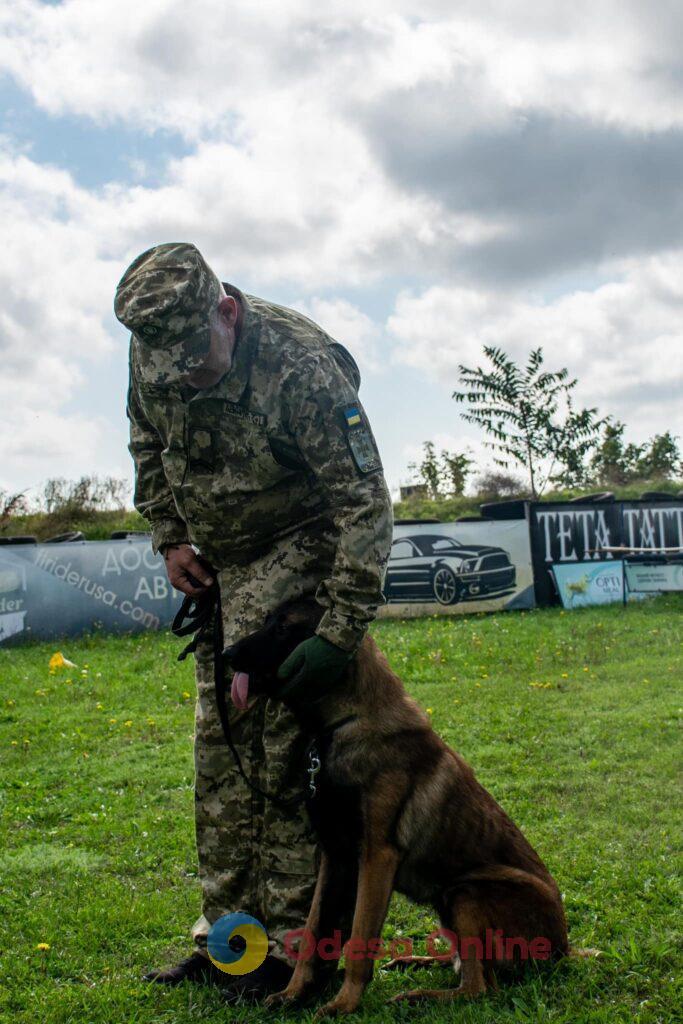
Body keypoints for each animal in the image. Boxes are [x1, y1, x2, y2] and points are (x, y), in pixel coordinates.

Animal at [224, 598, 573, 1015]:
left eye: (281, 628)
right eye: (267, 622)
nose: (225, 655)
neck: (348, 720)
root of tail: (566, 950)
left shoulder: (377, 857)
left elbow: (359, 938)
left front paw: (343, 1004)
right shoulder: (334, 858)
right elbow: (312, 933)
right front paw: (293, 994)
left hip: (465, 893)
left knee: (479, 987)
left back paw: (419, 996)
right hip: (447, 902)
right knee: (464, 965)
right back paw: (416, 961)